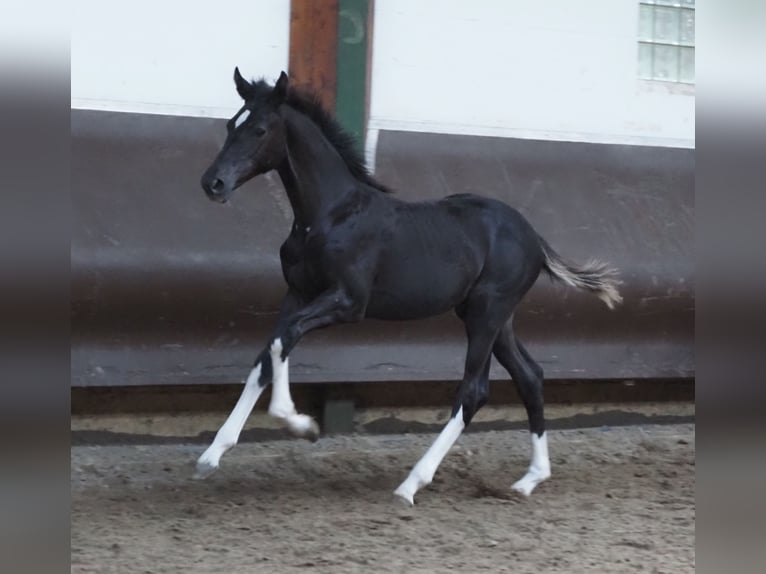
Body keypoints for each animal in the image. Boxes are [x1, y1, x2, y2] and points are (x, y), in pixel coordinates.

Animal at [198, 70, 624, 506]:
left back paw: (411, 484)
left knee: (474, 390)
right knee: (530, 376)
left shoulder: (348, 302)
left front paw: (301, 424)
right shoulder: (297, 293)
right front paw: (212, 454)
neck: (330, 216)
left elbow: (283, 340)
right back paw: (530, 479)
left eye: (260, 129)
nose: (213, 183)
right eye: (231, 125)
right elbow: (269, 351)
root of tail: (535, 237)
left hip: (486, 314)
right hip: (493, 317)